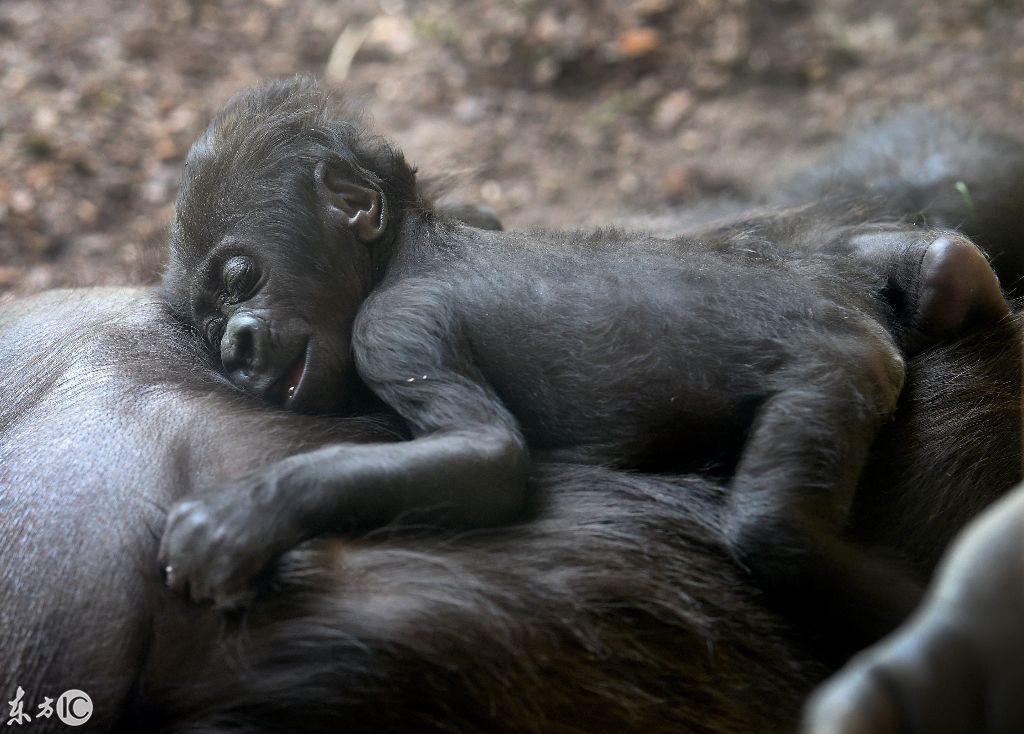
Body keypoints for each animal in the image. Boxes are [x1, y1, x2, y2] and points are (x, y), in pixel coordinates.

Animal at [159, 75, 1007, 646]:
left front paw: (249, 514)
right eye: (209, 324)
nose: (234, 348)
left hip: (838, 365)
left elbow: (487, 458)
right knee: (943, 262)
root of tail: (854, 311)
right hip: (840, 272)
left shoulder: (395, 327)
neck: (405, 244)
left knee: (774, 532)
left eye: (241, 276)